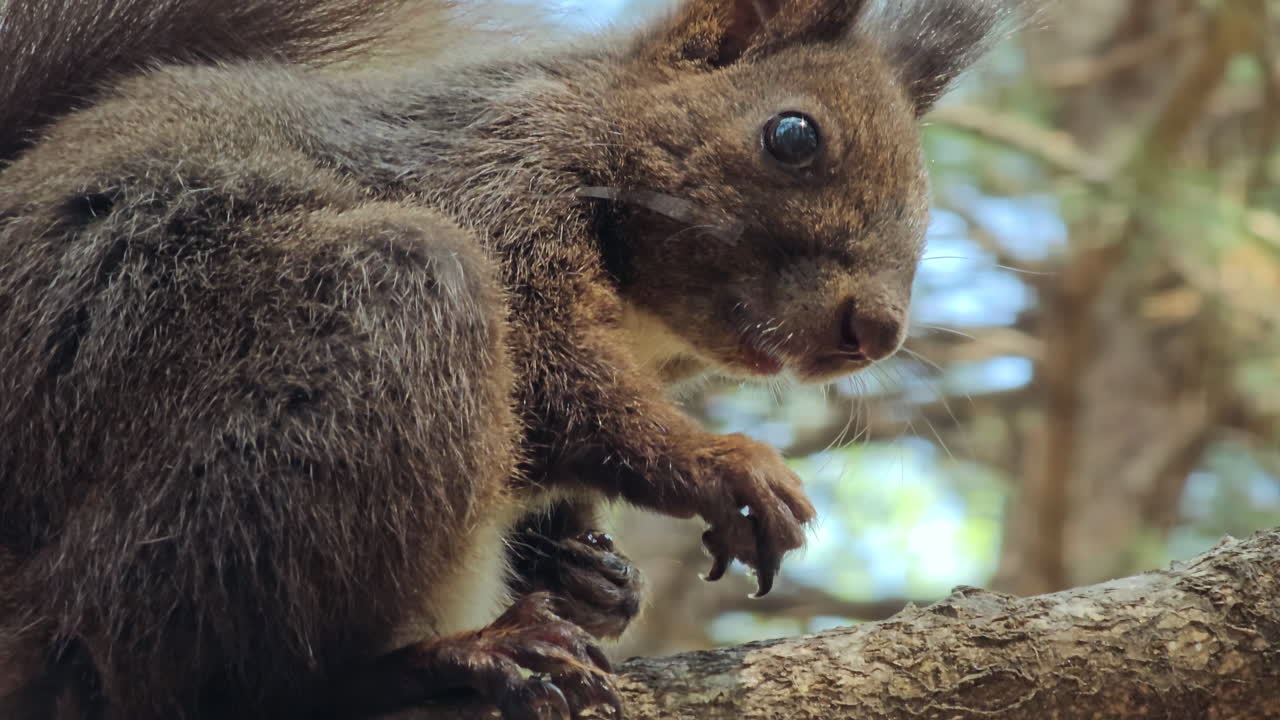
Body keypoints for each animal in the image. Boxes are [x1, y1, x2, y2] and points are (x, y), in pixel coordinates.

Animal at [0, 0, 1025, 718]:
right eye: (792, 134)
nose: (877, 330)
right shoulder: (496, 181)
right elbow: (553, 375)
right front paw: (722, 466)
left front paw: (593, 573)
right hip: (353, 338)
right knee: (204, 679)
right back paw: (447, 663)